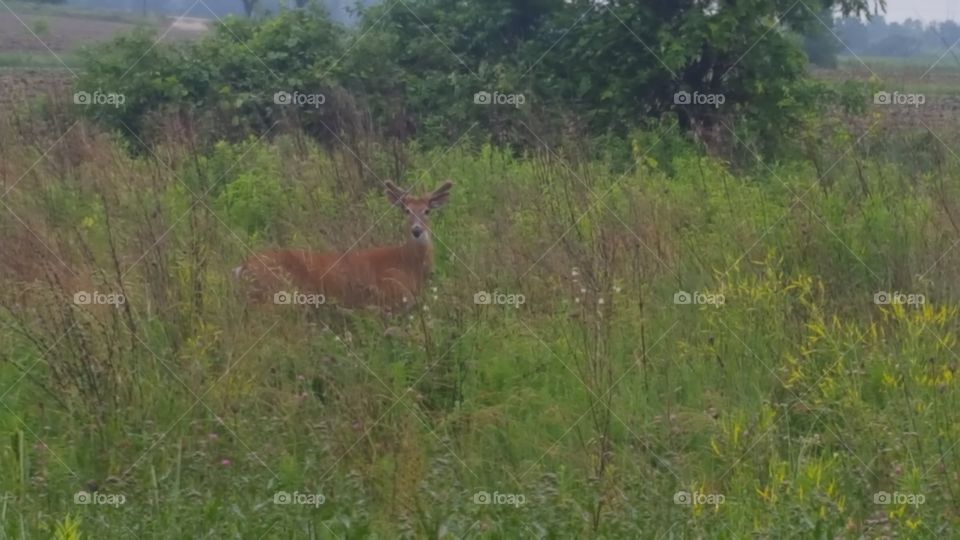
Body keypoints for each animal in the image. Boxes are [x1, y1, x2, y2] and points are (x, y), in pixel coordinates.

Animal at [233, 180, 453, 313]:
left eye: (427, 211)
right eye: (406, 210)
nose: (417, 230)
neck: (408, 264)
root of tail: (243, 266)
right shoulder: (392, 293)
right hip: (274, 296)